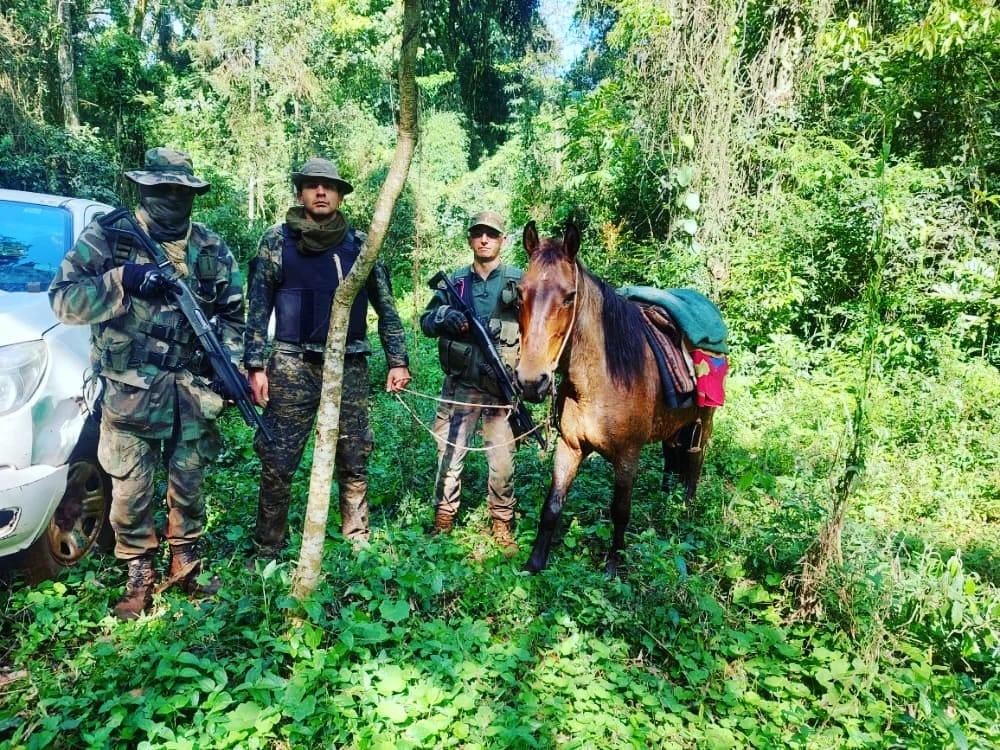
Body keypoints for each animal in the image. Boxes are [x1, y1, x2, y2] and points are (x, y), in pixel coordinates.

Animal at [516, 222, 720, 576]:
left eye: (569, 297)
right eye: (519, 292)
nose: (531, 381)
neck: (597, 383)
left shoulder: (627, 456)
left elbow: (620, 509)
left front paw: (613, 565)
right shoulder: (569, 446)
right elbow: (552, 505)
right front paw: (535, 562)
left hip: (703, 423)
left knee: (694, 465)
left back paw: (684, 511)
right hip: (673, 425)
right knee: (672, 457)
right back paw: (665, 502)